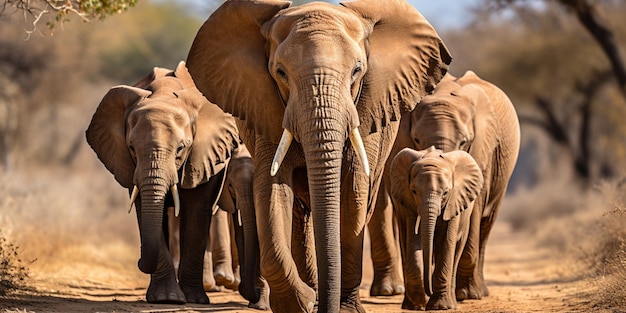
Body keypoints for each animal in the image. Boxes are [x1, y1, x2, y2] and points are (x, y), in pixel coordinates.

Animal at [84, 60, 238, 302]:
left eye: (181, 149)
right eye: (131, 148)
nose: (138, 261)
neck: (164, 93)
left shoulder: (202, 155)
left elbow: (197, 210)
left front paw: (194, 300)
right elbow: (144, 209)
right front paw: (167, 298)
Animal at [184, 1, 448, 310]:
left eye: (357, 71)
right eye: (280, 72)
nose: (323, 304)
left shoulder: (367, 110)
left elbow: (353, 191)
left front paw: (344, 309)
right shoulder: (265, 107)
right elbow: (272, 189)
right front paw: (301, 304)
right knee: (299, 213)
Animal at [390, 147, 482, 310]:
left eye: (445, 192)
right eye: (414, 191)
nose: (429, 290)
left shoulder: (454, 201)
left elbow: (446, 242)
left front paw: (440, 307)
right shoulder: (409, 204)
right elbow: (413, 241)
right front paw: (419, 303)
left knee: (456, 250)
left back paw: (451, 303)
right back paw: (410, 305)